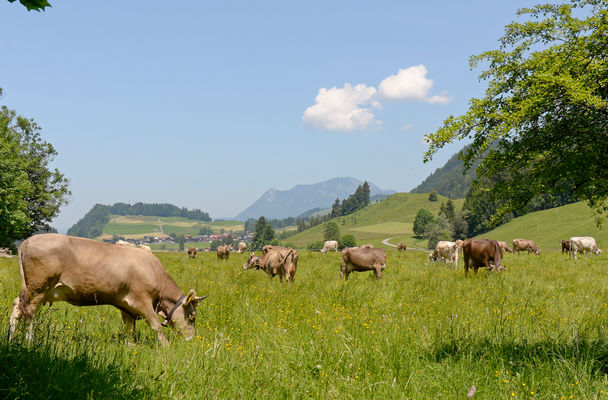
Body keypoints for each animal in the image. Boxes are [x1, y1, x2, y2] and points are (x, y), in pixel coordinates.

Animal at [8, 233, 207, 346]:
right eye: (192, 316)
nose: (190, 340)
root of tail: (27, 241)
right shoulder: (142, 302)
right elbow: (156, 325)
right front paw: (166, 346)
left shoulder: (126, 306)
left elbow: (129, 328)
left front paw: (130, 347)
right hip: (38, 288)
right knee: (29, 313)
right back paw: (29, 340)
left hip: (31, 289)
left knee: (17, 307)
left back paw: (11, 338)